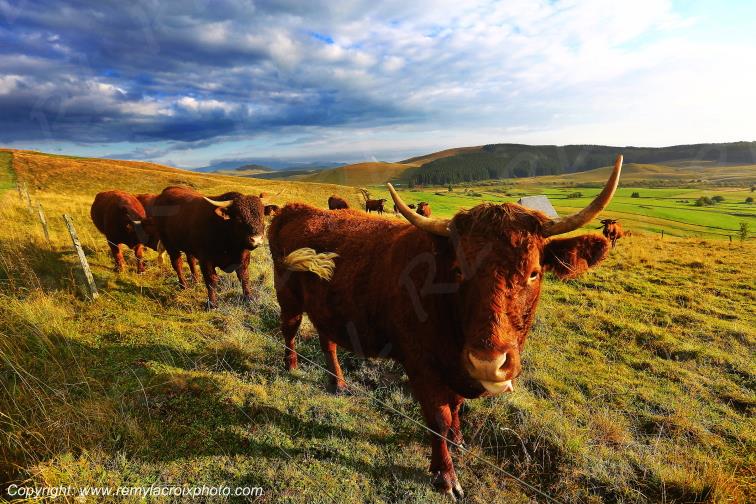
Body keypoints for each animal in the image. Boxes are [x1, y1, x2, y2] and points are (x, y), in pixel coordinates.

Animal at [267, 155, 622, 499]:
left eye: (534, 272)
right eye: (459, 270)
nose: (488, 362)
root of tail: (294, 209)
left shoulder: (458, 369)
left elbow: (456, 408)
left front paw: (458, 440)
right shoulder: (422, 367)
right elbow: (438, 418)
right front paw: (445, 475)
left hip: (326, 308)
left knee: (327, 341)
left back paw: (338, 383)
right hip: (287, 295)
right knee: (289, 329)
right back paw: (291, 364)